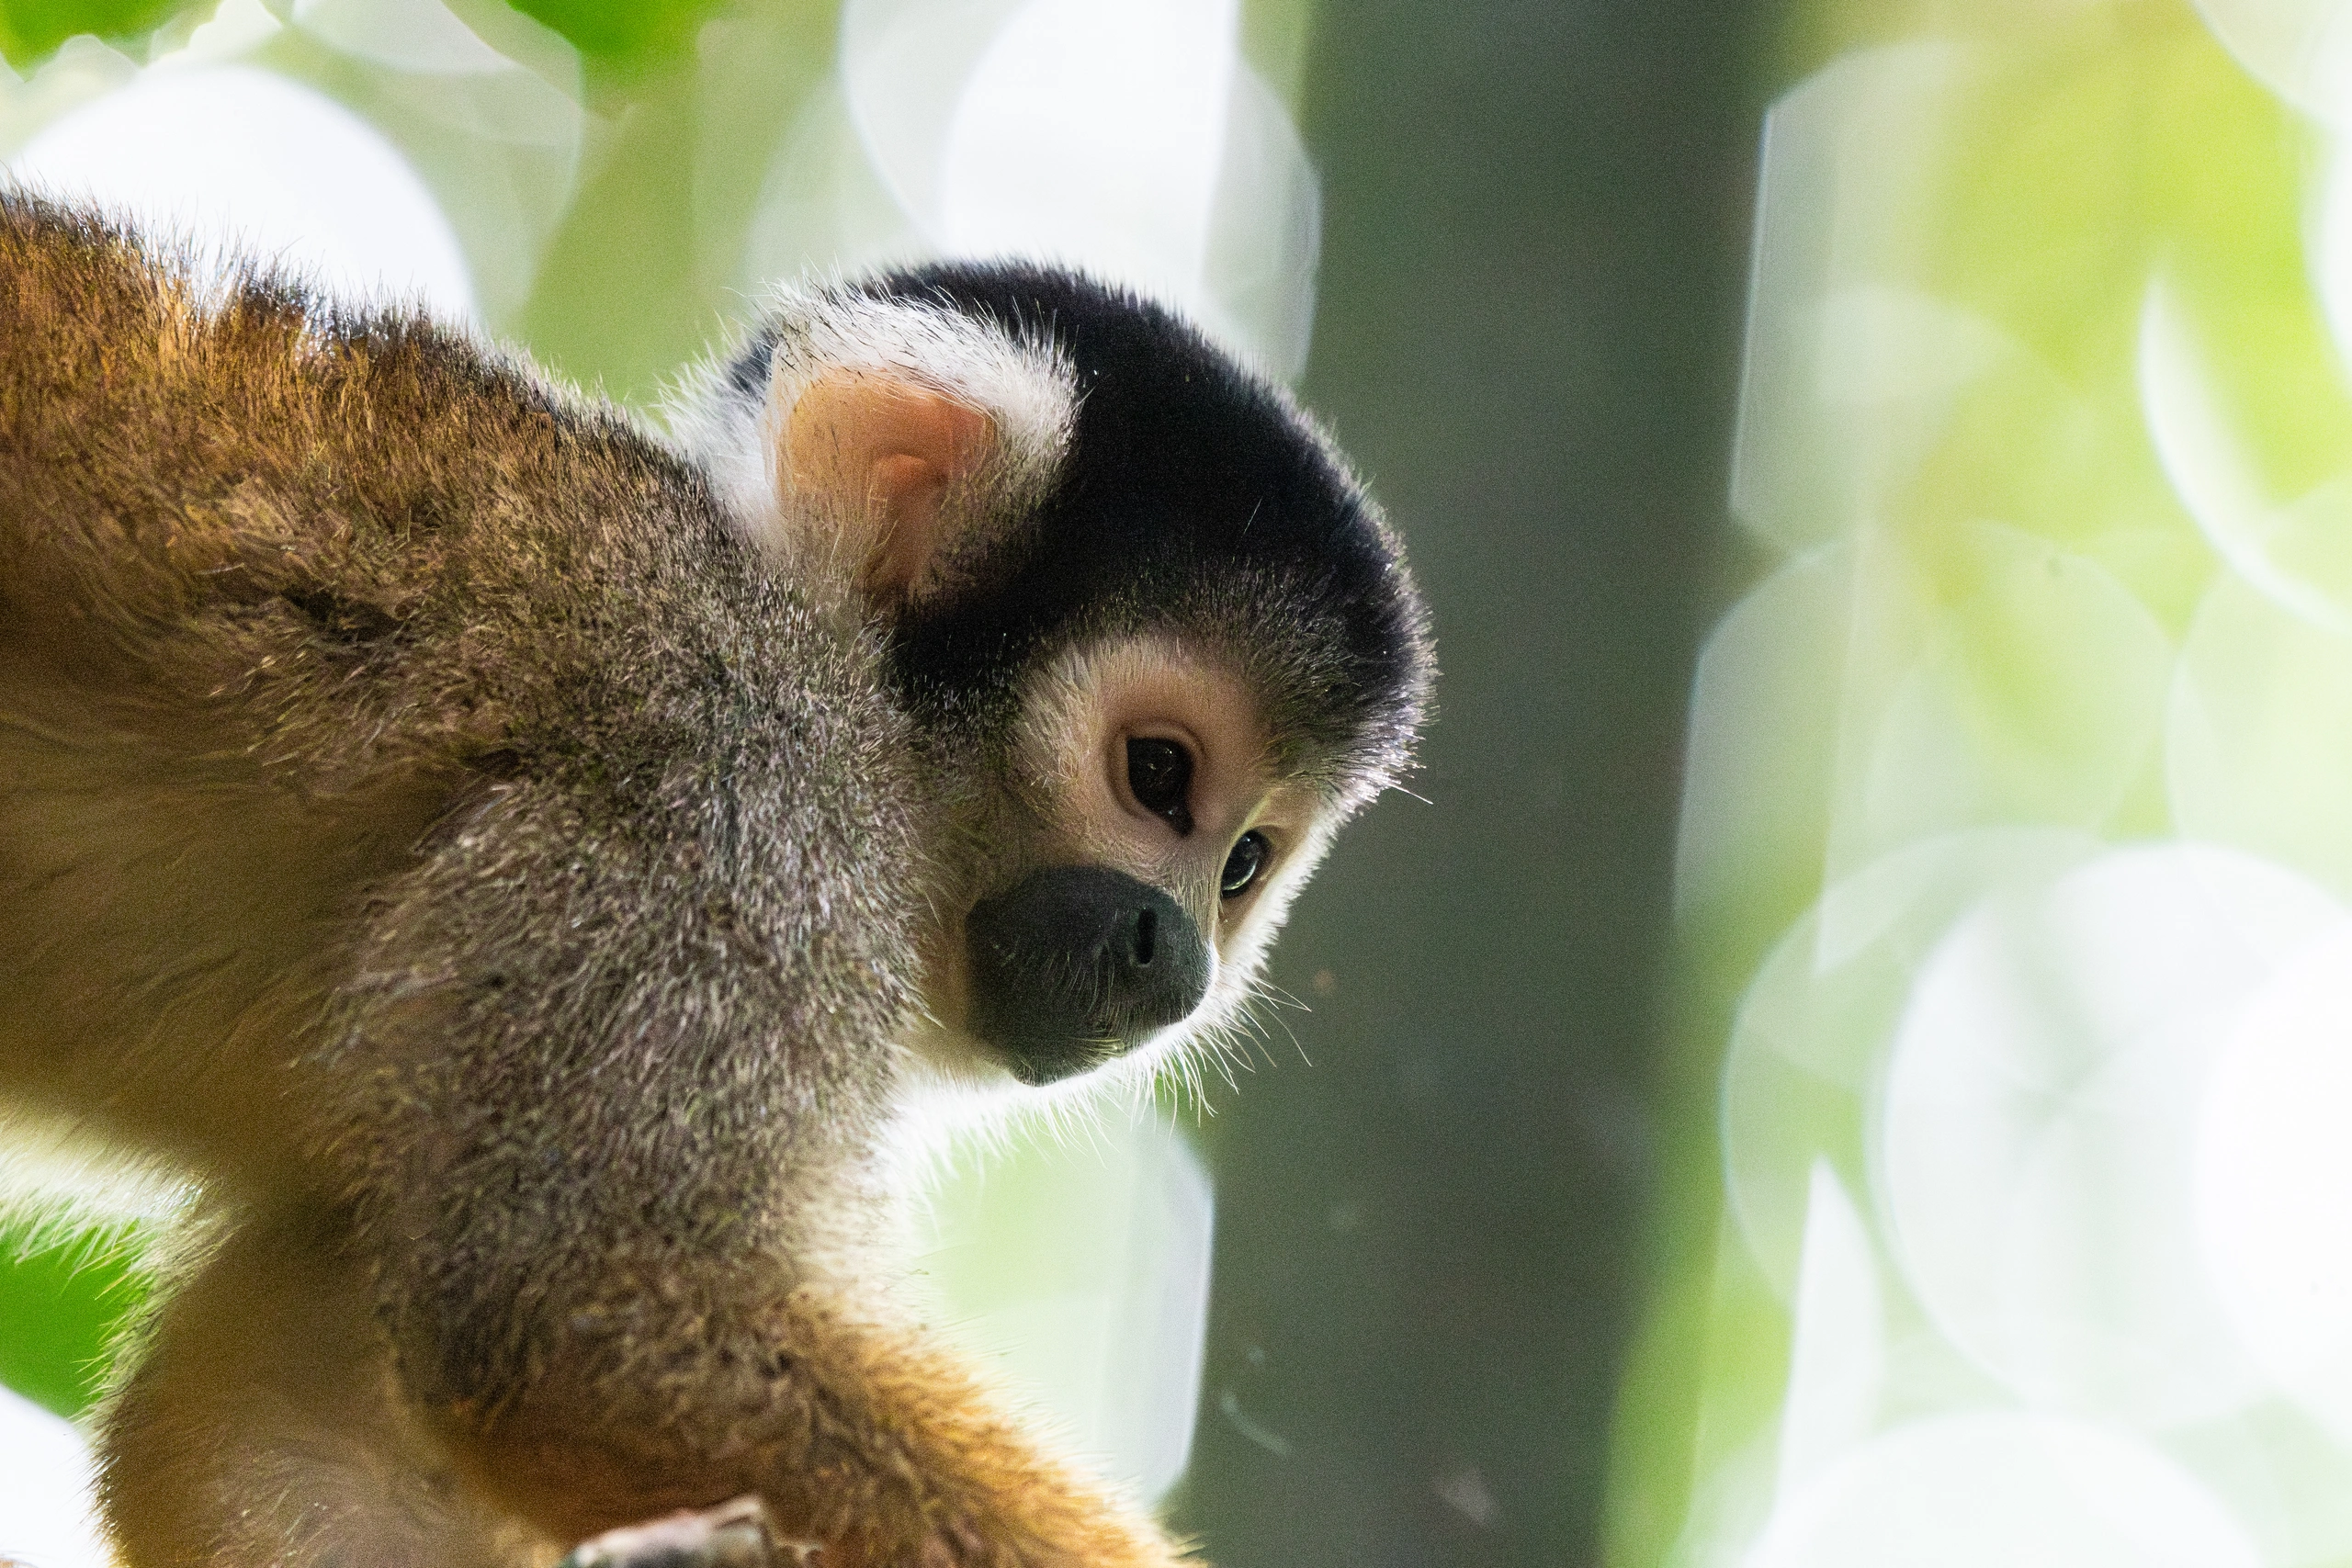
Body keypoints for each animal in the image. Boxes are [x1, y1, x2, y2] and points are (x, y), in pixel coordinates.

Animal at [0, 190, 1432, 1568]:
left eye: (1243, 865)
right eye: (1156, 774)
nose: (1174, 959)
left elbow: (259, 1430)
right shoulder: (729, 808)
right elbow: (567, 1307)